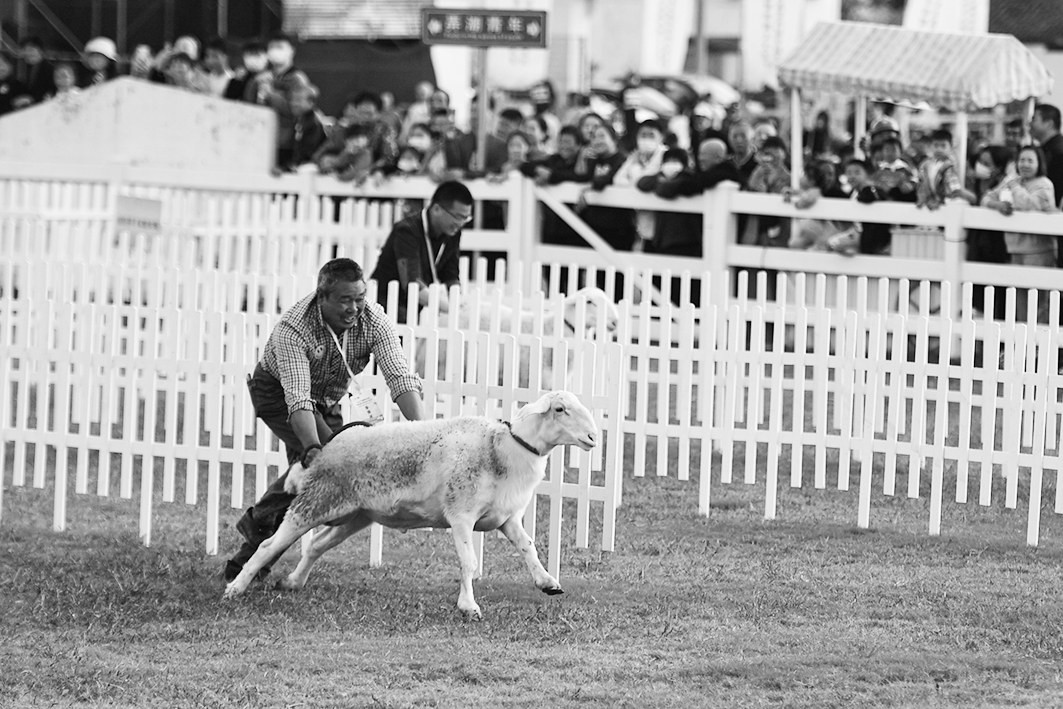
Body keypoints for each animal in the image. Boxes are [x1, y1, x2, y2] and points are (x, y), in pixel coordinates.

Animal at [222, 389, 599, 620]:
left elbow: (528, 547)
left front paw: (548, 582)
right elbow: (469, 562)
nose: (594, 437)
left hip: (356, 514)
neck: (502, 448)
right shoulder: (461, 515)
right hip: (315, 502)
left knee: (315, 546)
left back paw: (293, 582)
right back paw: (235, 588)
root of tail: (328, 447)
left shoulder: (507, 517)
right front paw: (468, 606)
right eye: (560, 409)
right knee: (270, 545)